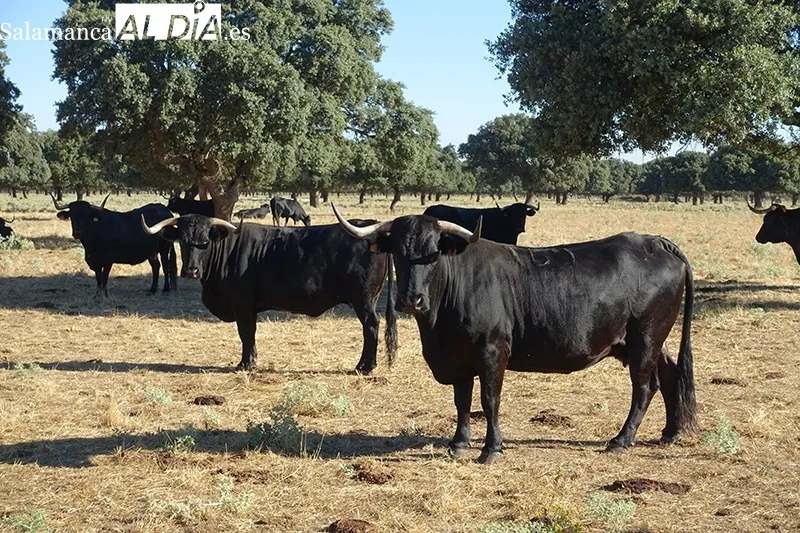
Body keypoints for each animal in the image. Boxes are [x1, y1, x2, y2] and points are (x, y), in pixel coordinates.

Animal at [141, 214, 397, 373]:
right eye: (182, 241)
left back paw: (365, 366)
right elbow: (250, 334)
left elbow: (246, 333)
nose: (191, 270)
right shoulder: (249, 307)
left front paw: (245, 363)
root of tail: (374, 232)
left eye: (205, 241)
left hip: (364, 300)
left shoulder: (242, 304)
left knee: (371, 326)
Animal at [333, 205, 698, 464]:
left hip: (645, 338)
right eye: (397, 251)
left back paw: (621, 440)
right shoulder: (458, 360)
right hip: (652, 340)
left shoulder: (493, 351)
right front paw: (458, 443)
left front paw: (491, 448)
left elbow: (489, 399)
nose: (411, 299)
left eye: (433, 253)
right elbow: (462, 401)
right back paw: (670, 431)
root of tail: (656, 243)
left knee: (644, 387)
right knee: (669, 374)